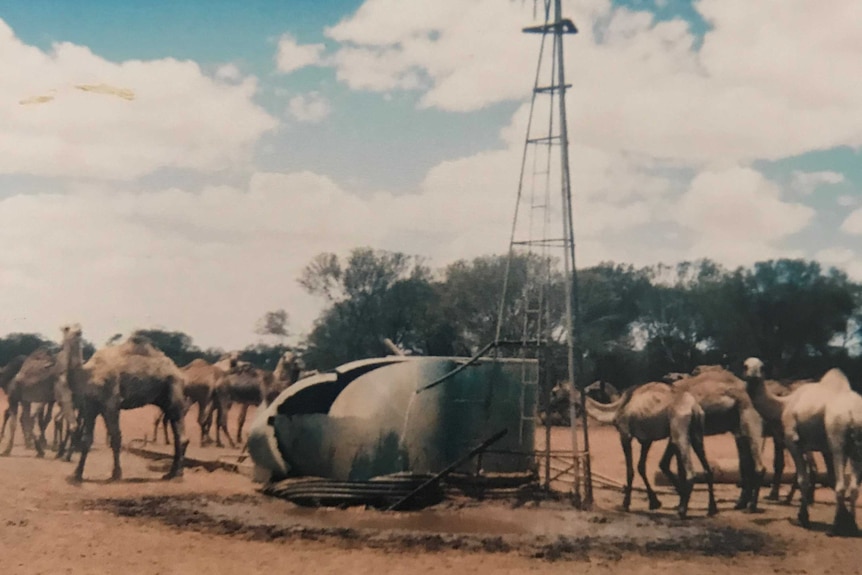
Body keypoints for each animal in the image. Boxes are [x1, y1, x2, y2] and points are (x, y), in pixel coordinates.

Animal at [1, 324, 82, 460]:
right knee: (21, 419)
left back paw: (38, 449)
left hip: (25, 399)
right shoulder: (59, 389)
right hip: (16, 396)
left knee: (26, 418)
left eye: (78, 327)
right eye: (67, 328)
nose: (77, 332)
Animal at [60, 332, 189, 482]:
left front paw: (116, 474)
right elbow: (87, 439)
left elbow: (116, 438)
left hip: (175, 390)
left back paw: (177, 474)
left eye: (78, 332)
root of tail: (179, 372)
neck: (90, 374)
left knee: (181, 436)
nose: (74, 334)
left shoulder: (111, 403)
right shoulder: (91, 406)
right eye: (65, 329)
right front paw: (77, 474)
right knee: (177, 435)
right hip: (165, 400)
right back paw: (171, 473)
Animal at [584, 380, 720, 520]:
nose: (584, 389)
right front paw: (655, 502)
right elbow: (641, 467)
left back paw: (682, 510)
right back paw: (712, 509)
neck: (618, 407)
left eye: (594, 388)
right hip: (697, 432)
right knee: (707, 468)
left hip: (679, 429)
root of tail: (694, 408)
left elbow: (630, 470)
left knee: (690, 471)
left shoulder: (625, 434)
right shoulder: (646, 440)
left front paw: (626, 504)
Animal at [668, 366, 768, 510]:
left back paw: (751, 506)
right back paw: (741, 503)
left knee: (757, 466)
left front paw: (680, 503)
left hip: (748, 420)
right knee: (747, 462)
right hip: (742, 426)